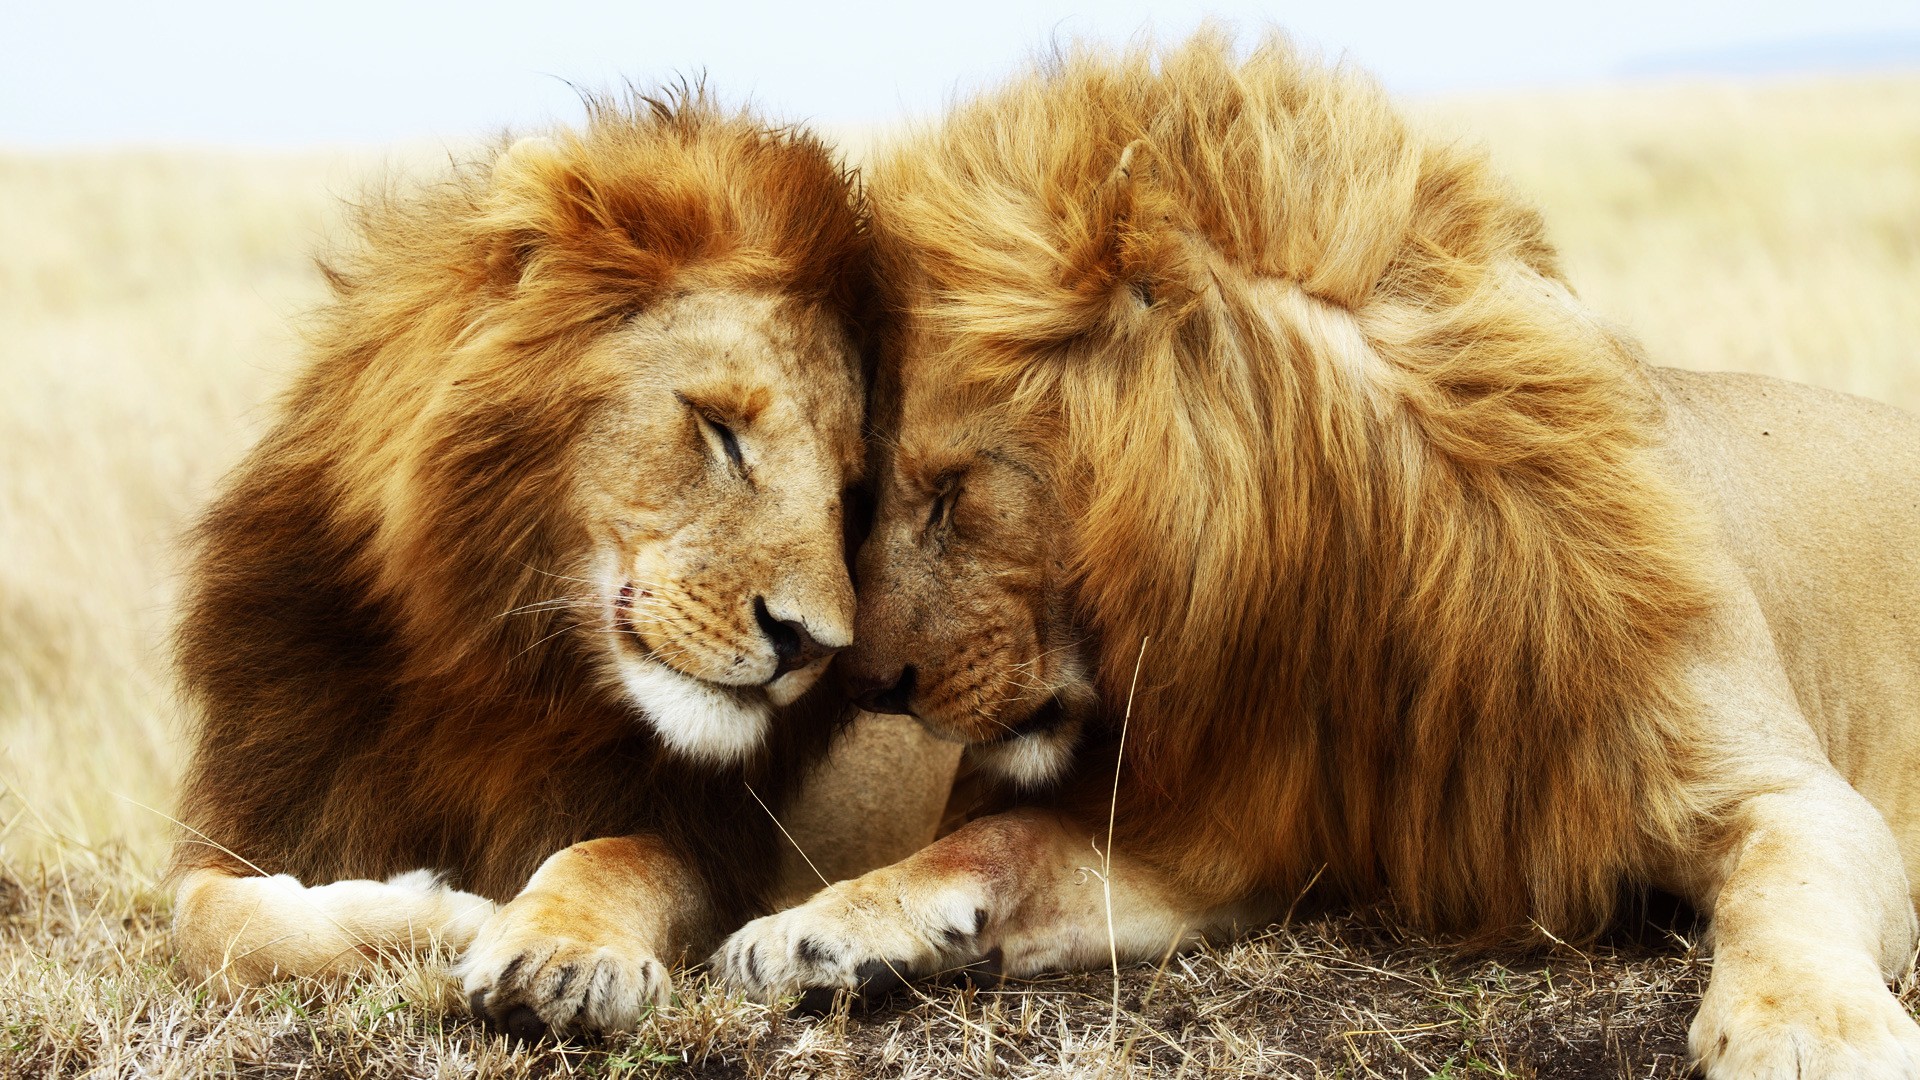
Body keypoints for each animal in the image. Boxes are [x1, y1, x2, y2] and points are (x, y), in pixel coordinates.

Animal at [167, 92, 957, 1039]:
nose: (811, 643)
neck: (494, 670)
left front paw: (555, 951)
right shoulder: (264, 810)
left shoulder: (713, 844)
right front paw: (440, 915)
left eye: (851, 494)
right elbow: (207, 919)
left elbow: (613, 856)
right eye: (720, 430)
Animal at [715, 35, 1920, 1076]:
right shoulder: (1228, 834)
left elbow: (1786, 889)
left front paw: (1805, 1033)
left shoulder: (1781, 787)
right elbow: (1001, 839)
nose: (868, 688)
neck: (1346, 585)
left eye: (954, 493)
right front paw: (815, 926)